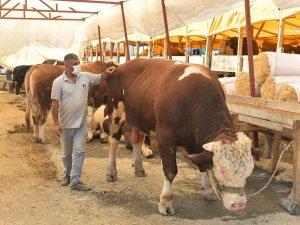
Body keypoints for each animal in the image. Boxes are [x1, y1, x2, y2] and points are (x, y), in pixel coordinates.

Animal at [104, 59, 254, 215]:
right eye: (222, 171)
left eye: (249, 171)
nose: (238, 205)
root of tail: (120, 67)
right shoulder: (165, 137)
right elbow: (170, 171)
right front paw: (165, 202)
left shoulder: (197, 143)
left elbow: (203, 164)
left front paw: (207, 190)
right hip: (116, 112)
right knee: (113, 141)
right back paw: (111, 171)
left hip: (140, 117)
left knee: (137, 140)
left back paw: (139, 168)